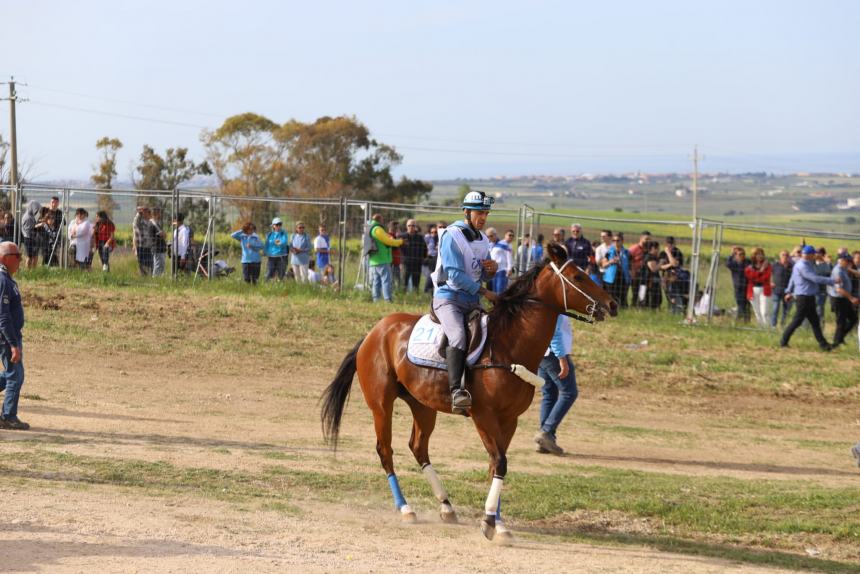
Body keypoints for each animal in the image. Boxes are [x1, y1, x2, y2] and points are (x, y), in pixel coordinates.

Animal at [320, 243, 616, 544]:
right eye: (578, 277)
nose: (612, 304)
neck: (509, 344)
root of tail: (374, 332)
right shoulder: (483, 415)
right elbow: (500, 462)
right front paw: (488, 522)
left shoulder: (509, 420)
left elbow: (496, 465)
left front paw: (498, 522)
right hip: (381, 405)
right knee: (385, 451)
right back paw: (405, 508)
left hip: (422, 406)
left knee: (418, 448)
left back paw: (446, 506)